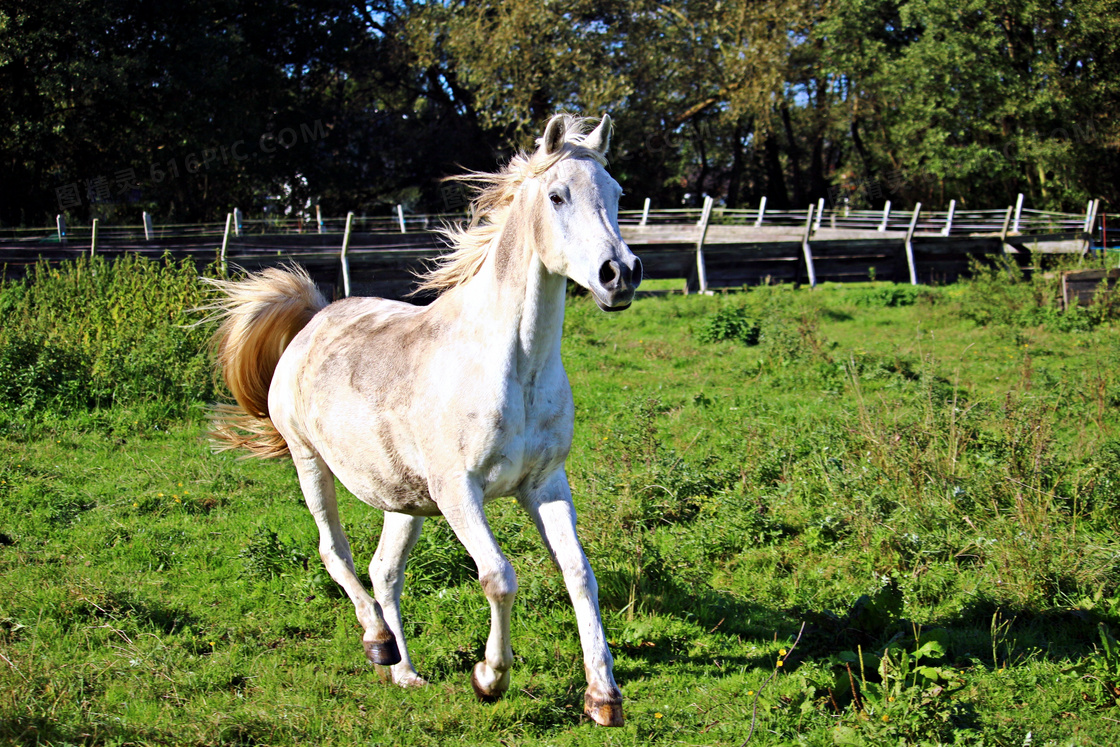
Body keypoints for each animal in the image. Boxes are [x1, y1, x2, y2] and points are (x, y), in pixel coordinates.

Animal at [208, 114, 640, 725]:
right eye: (558, 195)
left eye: (618, 194)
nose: (619, 275)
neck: (514, 366)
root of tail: (314, 318)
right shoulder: (458, 489)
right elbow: (499, 576)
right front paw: (489, 678)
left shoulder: (546, 483)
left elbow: (580, 574)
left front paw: (603, 697)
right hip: (309, 462)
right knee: (336, 555)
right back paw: (378, 643)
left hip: (402, 498)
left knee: (384, 571)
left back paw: (404, 672)